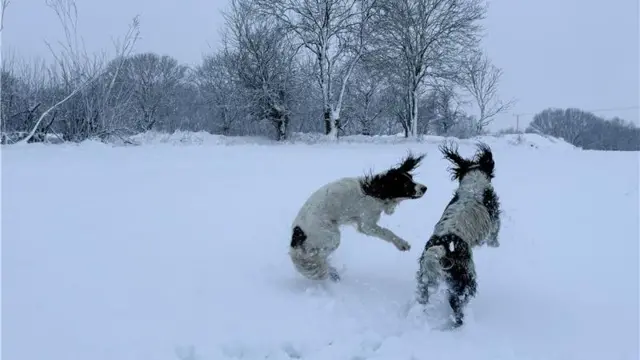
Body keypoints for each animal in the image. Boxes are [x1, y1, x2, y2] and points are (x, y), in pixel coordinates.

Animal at [292, 153, 428, 282]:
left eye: (411, 178)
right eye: (405, 184)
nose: (425, 188)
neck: (374, 191)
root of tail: (297, 233)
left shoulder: (363, 226)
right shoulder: (367, 224)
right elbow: (386, 232)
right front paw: (402, 244)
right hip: (331, 236)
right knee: (313, 256)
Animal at [418, 142, 502, 328]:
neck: (473, 186)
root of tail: (442, 247)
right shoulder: (494, 223)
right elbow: (494, 235)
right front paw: (495, 246)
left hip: (425, 276)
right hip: (466, 277)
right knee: (458, 303)